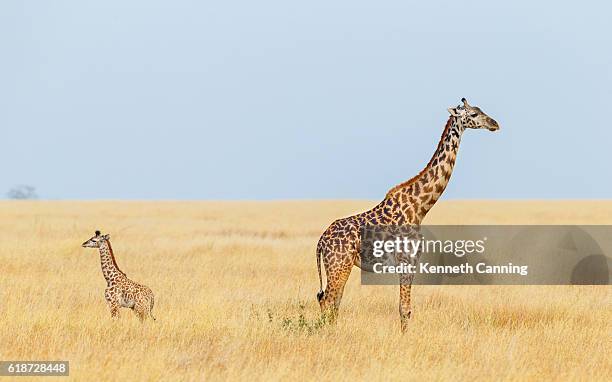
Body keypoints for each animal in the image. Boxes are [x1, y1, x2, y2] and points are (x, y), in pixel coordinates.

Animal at [318, 98, 500, 332]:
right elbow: (405, 309)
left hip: (340, 265)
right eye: (474, 114)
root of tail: (321, 241)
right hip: (339, 264)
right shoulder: (407, 260)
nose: (495, 124)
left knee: (333, 302)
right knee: (327, 300)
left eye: (481, 110)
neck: (419, 207)